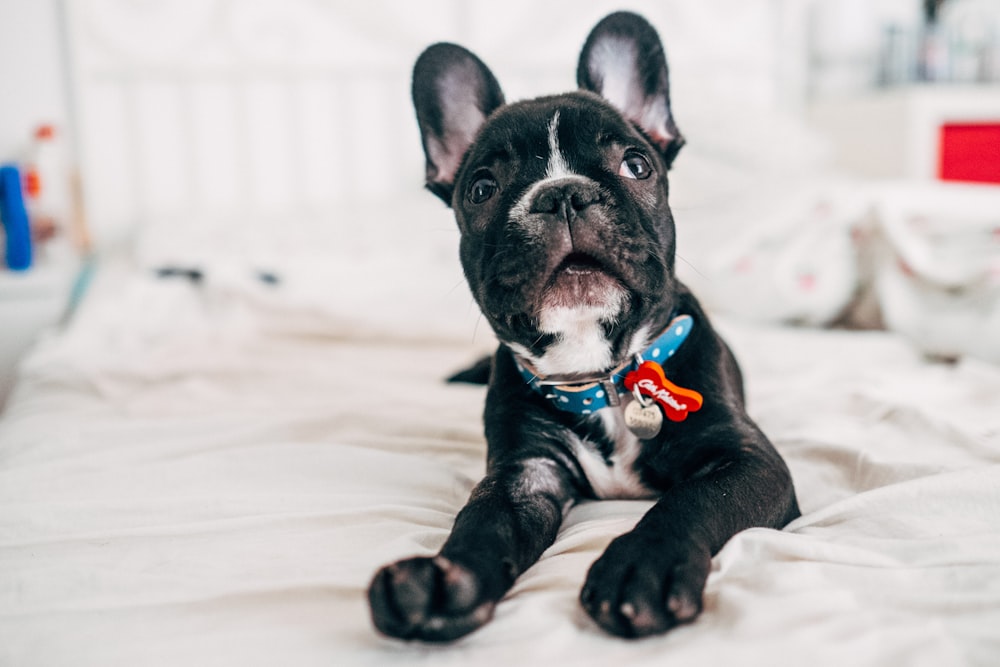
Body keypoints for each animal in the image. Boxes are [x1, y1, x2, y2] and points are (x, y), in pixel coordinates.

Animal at [368, 11, 796, 640]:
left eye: (636, 165)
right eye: (482, 188)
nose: (563, 195)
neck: (603, 377)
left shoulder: (745, 460)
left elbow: (690, 501)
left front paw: (642, 567)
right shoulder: (526, 473)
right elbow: (481, 519)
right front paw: (445, 580)